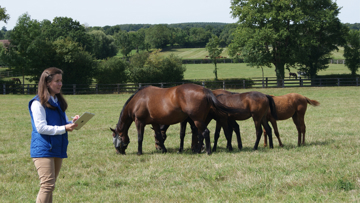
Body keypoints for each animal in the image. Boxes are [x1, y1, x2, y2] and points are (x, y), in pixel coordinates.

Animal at [110, 83, 242, 155]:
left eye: (115, 138)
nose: (118, 152)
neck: (138, 100)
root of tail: (205, 90)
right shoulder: (155, 123)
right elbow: (159, 135)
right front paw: (164, 149)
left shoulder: (139, 122)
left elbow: (139, 137)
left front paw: (139, 152)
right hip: (201, 120)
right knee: (201, 134)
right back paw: (199, 150)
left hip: (198, 119)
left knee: (206, 132)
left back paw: (209, 151)